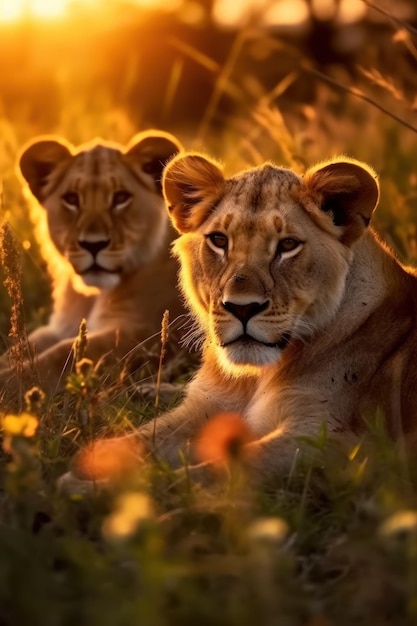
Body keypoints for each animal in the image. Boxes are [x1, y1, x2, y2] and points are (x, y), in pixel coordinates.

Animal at [0, 132, 184, 394]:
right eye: (71, 199)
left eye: (120, 198)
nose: (93, 245)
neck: (92, 295)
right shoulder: (61, 326)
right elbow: (22, 345)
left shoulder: (145, 333)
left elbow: (62, 354)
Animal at [65, 149, 417, 486]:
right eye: (219, 240)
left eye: (288, 245)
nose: (242, 308)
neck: (254, 377)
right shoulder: (206, 407)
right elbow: (134, 441)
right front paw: (82, 475)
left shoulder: (339, 442)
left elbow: (216, 472)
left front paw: (86, 491)